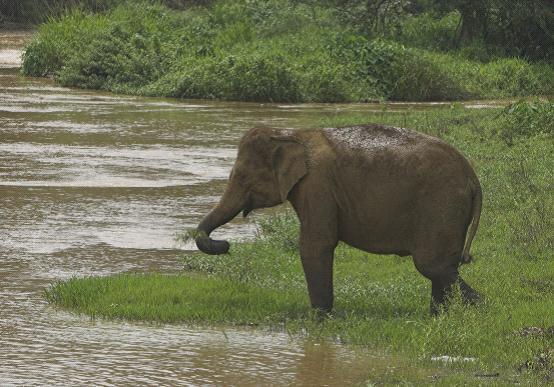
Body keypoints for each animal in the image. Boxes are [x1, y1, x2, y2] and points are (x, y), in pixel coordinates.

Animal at [194, 124, 478, 316]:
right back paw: (440, 317)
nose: (225, 245)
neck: (289, 133)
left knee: (432, 266)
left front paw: (318, 318)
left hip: (441, 207)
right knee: (441, 269)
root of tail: (473, 177)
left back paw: (479, 309)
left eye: (243, 177)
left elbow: (316, 244)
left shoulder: (317, 185)